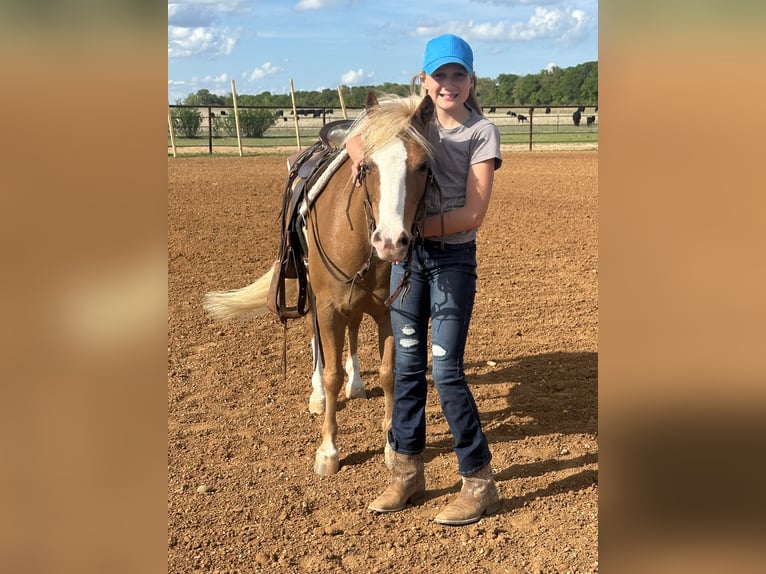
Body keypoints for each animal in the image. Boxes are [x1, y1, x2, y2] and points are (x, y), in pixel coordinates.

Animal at [203, 92, 435, 475]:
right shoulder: (327, 307)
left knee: (353, 332)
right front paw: (328, 450)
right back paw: (317, 395)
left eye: (423, 167)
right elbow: (330, 374)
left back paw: (356, 383)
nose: (390, 242)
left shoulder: (386, 311)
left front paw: (391, 445)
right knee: (318, 345)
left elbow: (389, 374)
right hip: (312, 293)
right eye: (367, 166)